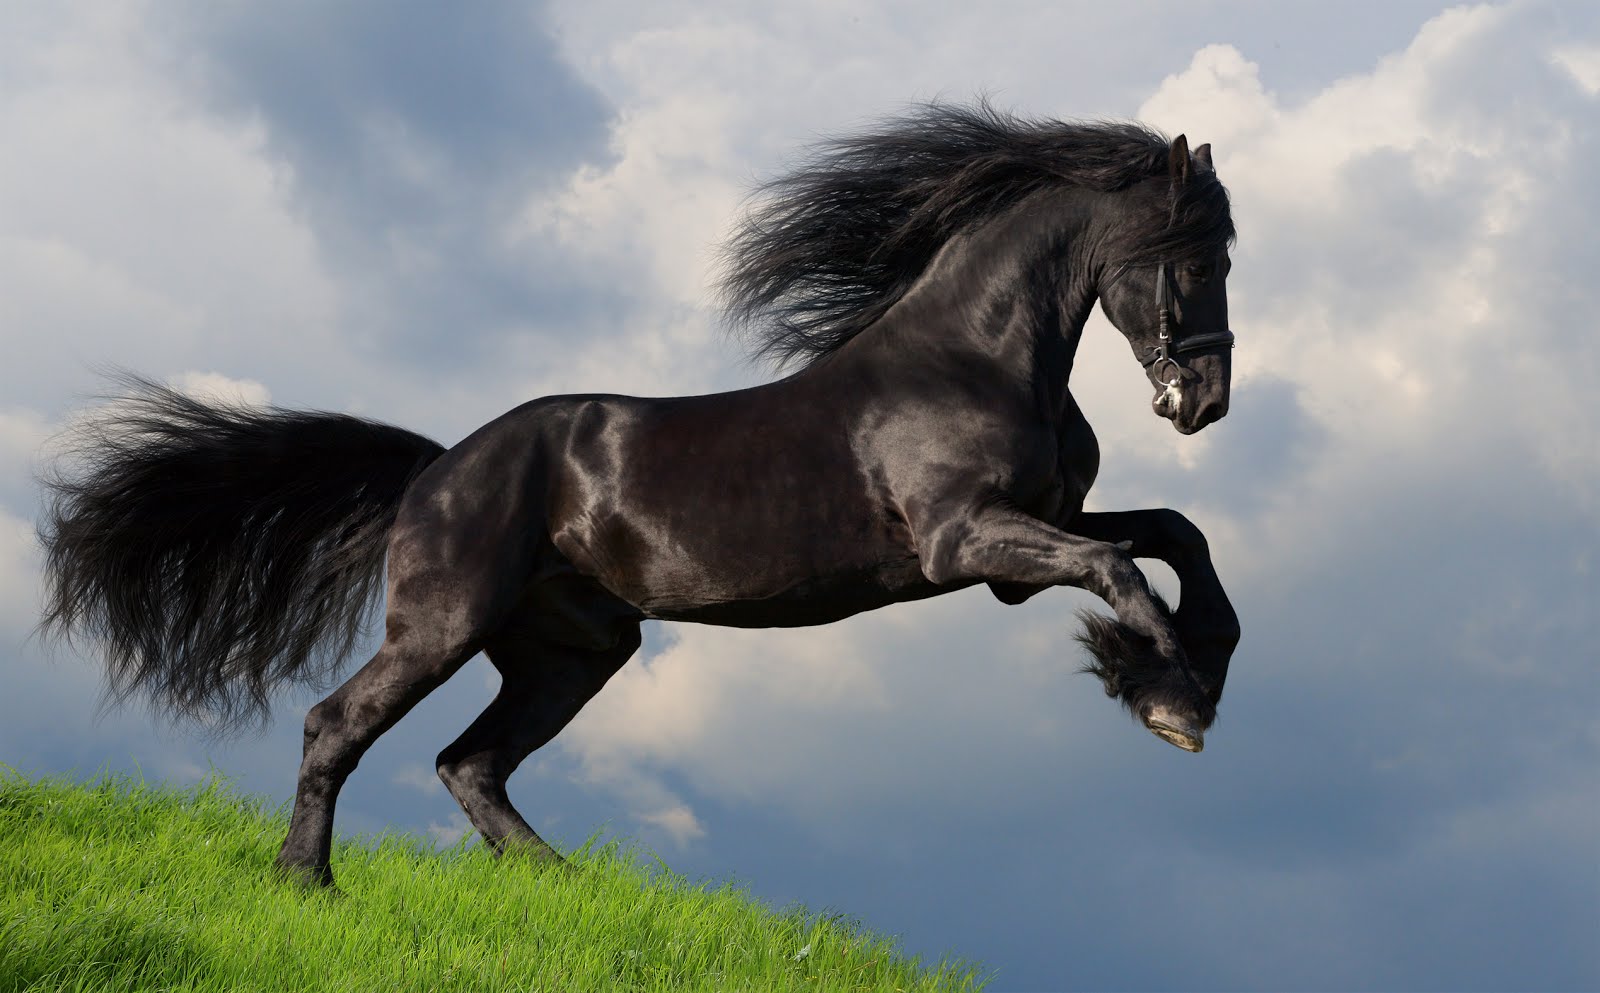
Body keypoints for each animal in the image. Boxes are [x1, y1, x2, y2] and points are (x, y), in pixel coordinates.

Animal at [38, 102, 1241, 887]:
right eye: (1197, 259)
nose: (1206, 403)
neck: (974, 360)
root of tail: (435, 468)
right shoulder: (965, 544)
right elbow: (1122, 566)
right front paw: (1170, 701)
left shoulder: (1026, 542)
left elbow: (1175, 537)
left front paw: (1191, 673)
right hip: (445, 623)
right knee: (340, 724)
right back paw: (304, 880)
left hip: (574, 649)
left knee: (469, 762)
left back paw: (562, 884)